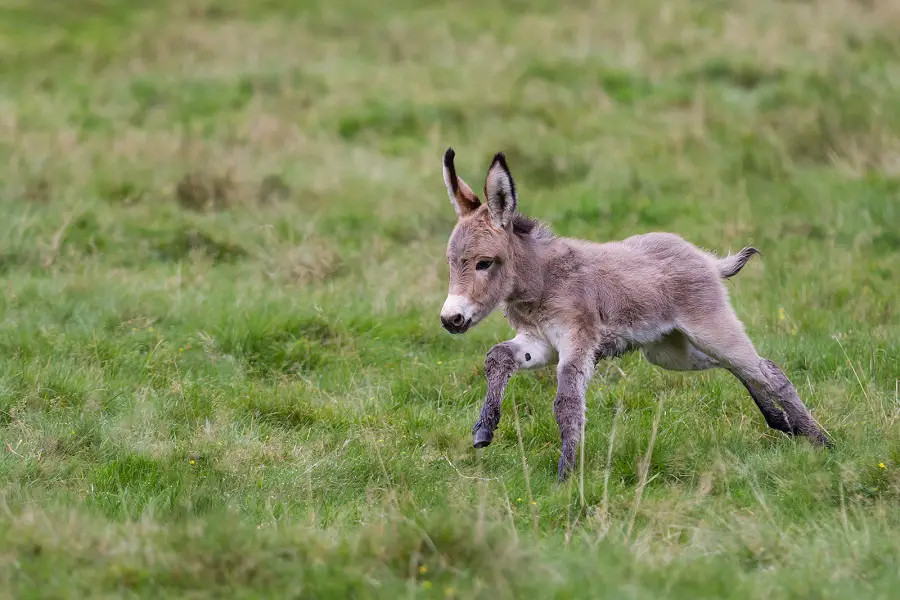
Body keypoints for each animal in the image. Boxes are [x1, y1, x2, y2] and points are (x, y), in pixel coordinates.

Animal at [436, 148, 828, 480]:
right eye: (451, 262)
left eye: (484, 263)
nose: (450, 320)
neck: (542, 280)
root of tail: (704, 258)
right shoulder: (539, 341)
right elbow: (497, 356)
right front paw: (485, 429)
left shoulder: (578, 343)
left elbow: (566, 402)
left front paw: (566, 475)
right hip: (670, 351)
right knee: (738, 366)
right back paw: (781, 422)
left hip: (710, 328)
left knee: (768, 370)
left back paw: (821, 440)